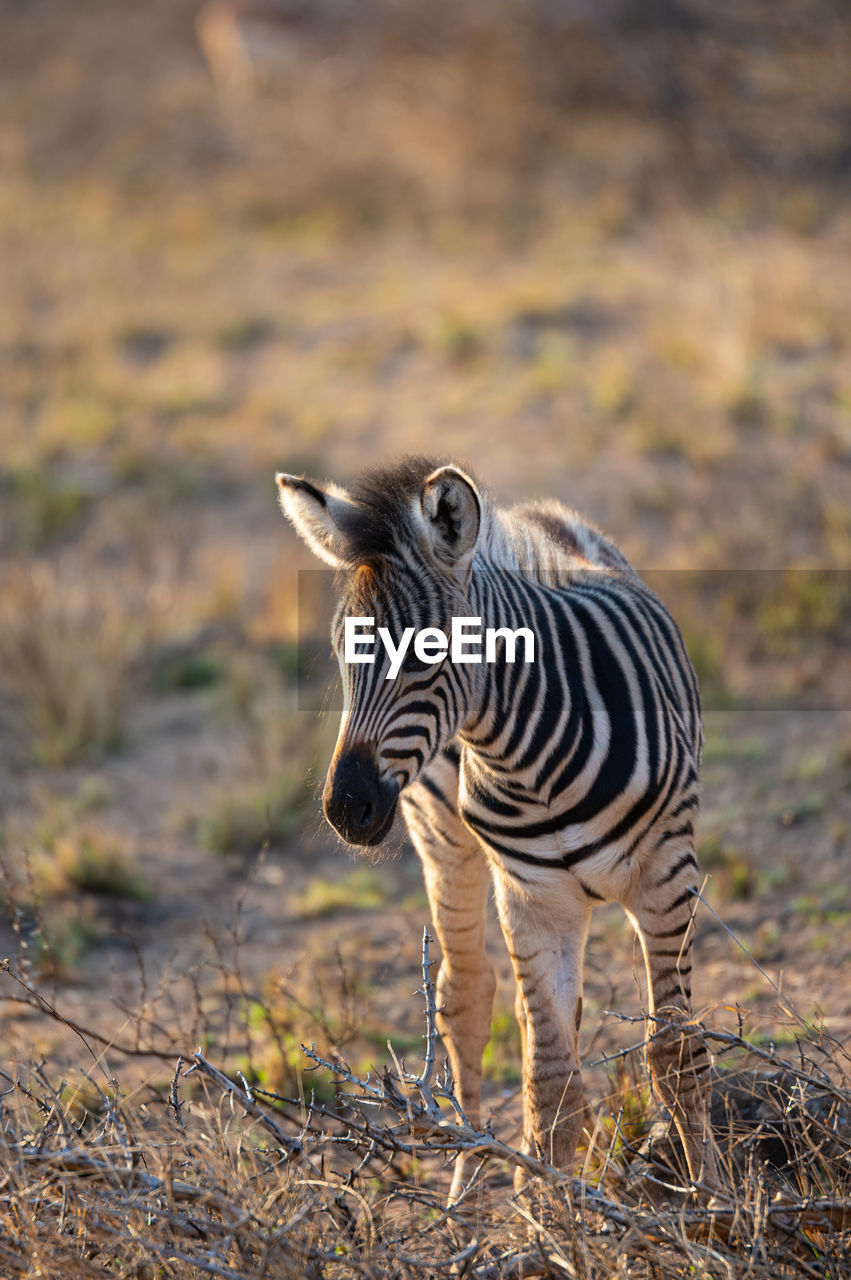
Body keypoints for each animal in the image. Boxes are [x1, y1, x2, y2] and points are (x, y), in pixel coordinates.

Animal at [275, 455, 721, 1192]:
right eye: (342, 654)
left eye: (424, 657)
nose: (346, 808)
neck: (528, 757)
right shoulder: (533, 897)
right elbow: (550, 1076)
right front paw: (551, 1207)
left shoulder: (665, 878)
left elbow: (675, 1050)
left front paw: (716, 1195)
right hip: (443, 840)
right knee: (466, 995)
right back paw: (471, 1179)